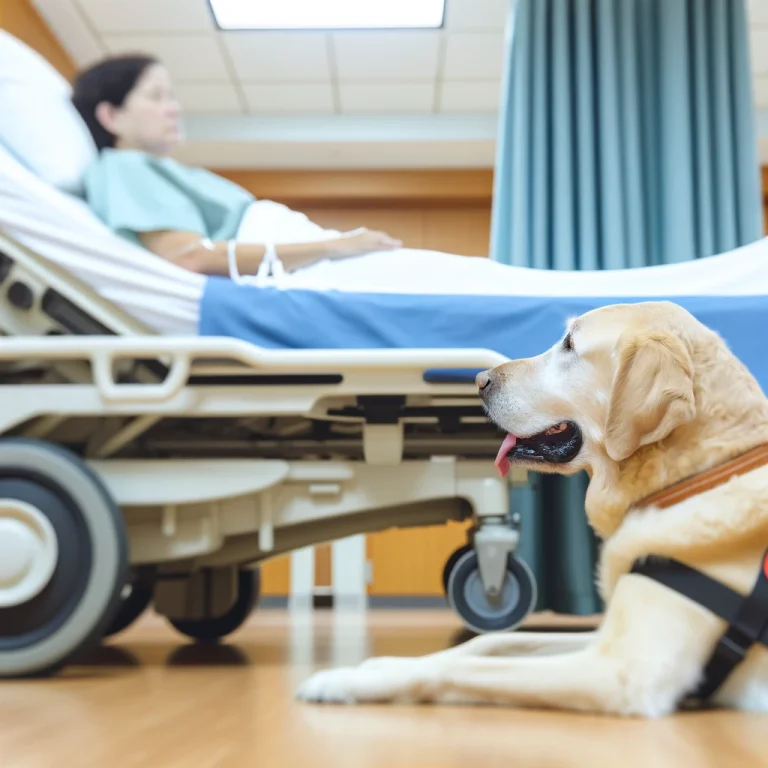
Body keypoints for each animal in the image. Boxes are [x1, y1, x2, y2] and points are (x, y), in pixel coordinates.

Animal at [296, 302, 768, 720]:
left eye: (570, 344)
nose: (479, 379)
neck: (701, 473)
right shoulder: (600, 638)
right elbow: (484, 644)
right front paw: (378, 662)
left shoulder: (623, 670)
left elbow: (461, 666)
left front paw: (344, 680)